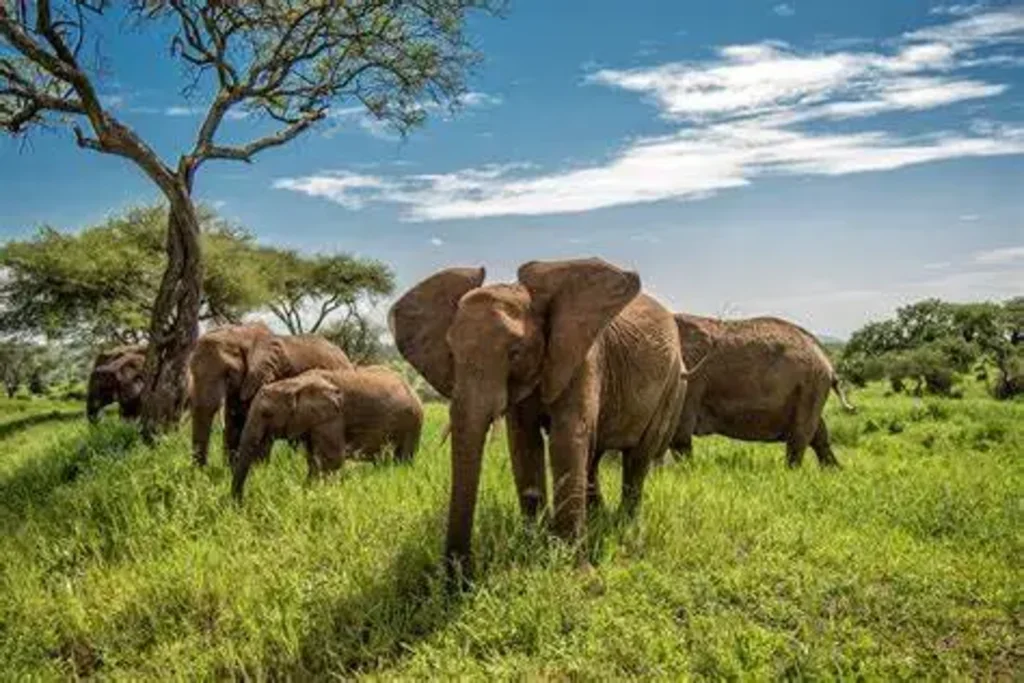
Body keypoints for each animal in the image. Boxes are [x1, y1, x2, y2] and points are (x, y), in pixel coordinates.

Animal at [188, 323, 352, 466]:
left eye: (228, 374)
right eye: (192, 371)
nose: (202, 470)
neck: (241, 335)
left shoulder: (268, 375)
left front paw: (258, 470)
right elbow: (233, 424)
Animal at [232, 366, 423, 499]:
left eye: (266, 414)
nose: (240, 504)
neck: (293, 383)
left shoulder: (332, 417)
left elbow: (330, 460)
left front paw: (311, 494)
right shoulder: (313, 421)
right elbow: (313, 460)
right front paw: (308, 492)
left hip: (413, 422)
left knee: (403, 458)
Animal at [387, 258, 700, 581]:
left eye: (515, 353)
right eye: (451, 352)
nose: (458, 580)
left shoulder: (582, 358)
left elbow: (566, 439)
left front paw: (573, 571)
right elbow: (523, 442)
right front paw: (533, 547)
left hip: (673, 386)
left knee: (637, 458)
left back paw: (624, 528)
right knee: (593, 456)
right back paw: (597, 518)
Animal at [671, 315, 856, 471]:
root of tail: (827, 361)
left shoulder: (689, 383)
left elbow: (679, 435)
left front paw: (686, 473)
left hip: (811, 385)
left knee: (800, 436)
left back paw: (792, 474)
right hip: (811, 387)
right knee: (818, 434)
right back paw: (835, 472)